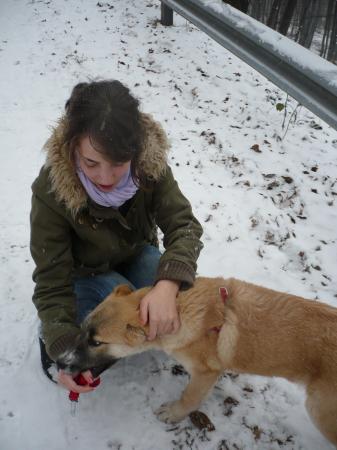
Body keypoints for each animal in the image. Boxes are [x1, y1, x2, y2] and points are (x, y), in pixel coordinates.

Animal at [57, 276, 336, 444]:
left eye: (96, 342)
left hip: (320, 412)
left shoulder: (205, 373)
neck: (182, 311)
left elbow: (189, 397)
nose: (59, 363)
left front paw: (173, 413)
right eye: (82, 330)